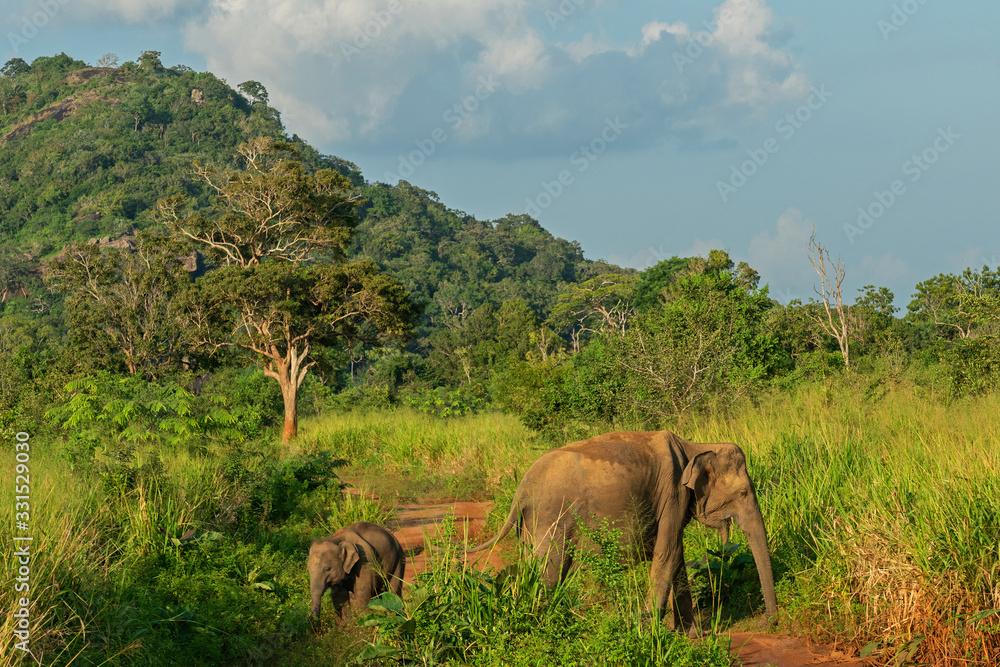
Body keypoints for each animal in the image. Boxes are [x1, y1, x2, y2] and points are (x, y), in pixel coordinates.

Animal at [466, 430, 777, 635]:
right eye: (743, 493)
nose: (765, 622)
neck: (696, 446)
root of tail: (520, 490)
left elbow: (675, 557)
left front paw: (690, 635)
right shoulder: (673, 494)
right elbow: (667, 554)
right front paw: (653, 634)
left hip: (530, 526)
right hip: (551, 519)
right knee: (548, 573)